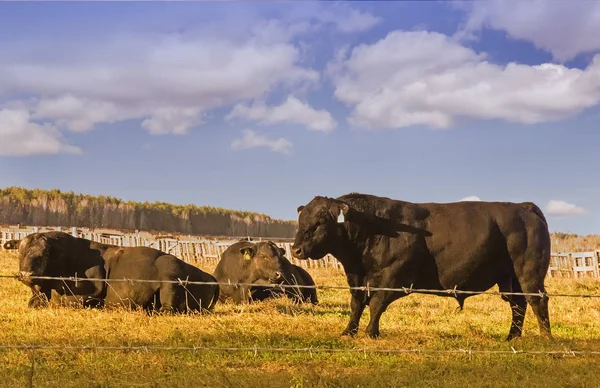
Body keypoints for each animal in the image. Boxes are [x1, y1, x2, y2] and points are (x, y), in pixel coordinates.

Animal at [292, 193, 552, 340]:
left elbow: (376, 304)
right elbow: (356, 305)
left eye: (321, 221)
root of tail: (523, 207)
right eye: (301, 219)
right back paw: (512, 337)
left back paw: (545, 338)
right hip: (509, 278)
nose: (296, 250)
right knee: (518, 304)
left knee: (537, 301)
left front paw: (370, 332)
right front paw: (349, 331)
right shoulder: (357, 278)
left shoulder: (394, 276)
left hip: (529, 274)